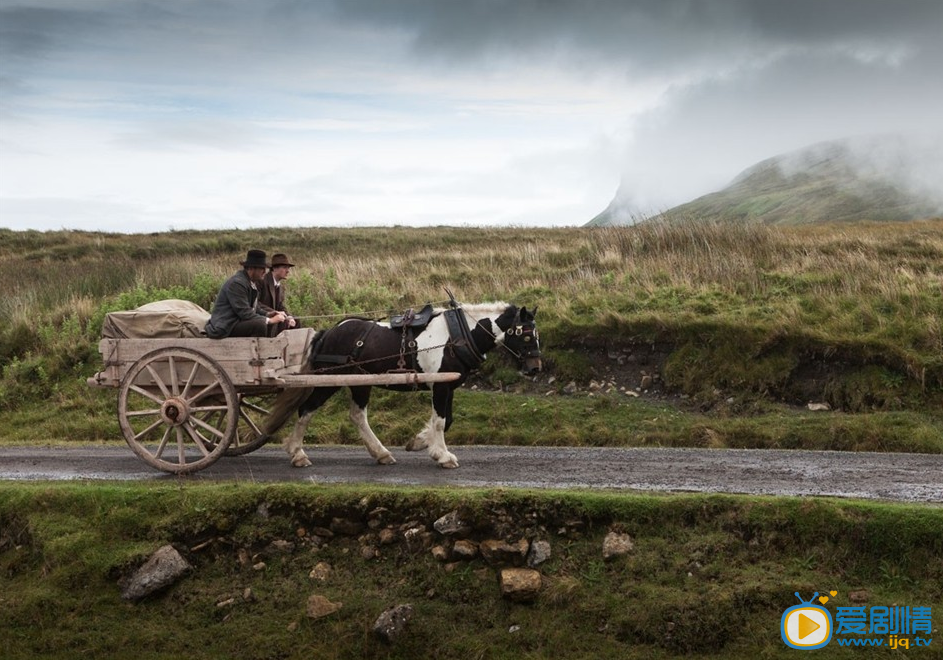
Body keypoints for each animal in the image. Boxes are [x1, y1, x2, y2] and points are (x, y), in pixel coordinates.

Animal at [262, 304, 544, 470]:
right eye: (525, 334)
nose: (535, 368)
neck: (457, 335)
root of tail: (329, 331)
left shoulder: (448, 385)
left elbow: (447, 420)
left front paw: (419, 442)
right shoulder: (440, 386)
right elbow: (441, 421)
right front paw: (443, 455)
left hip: (360, 382)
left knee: (357, 416)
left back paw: (380, 453)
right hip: (330, 380)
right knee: (306, 410)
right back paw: (297, 453)